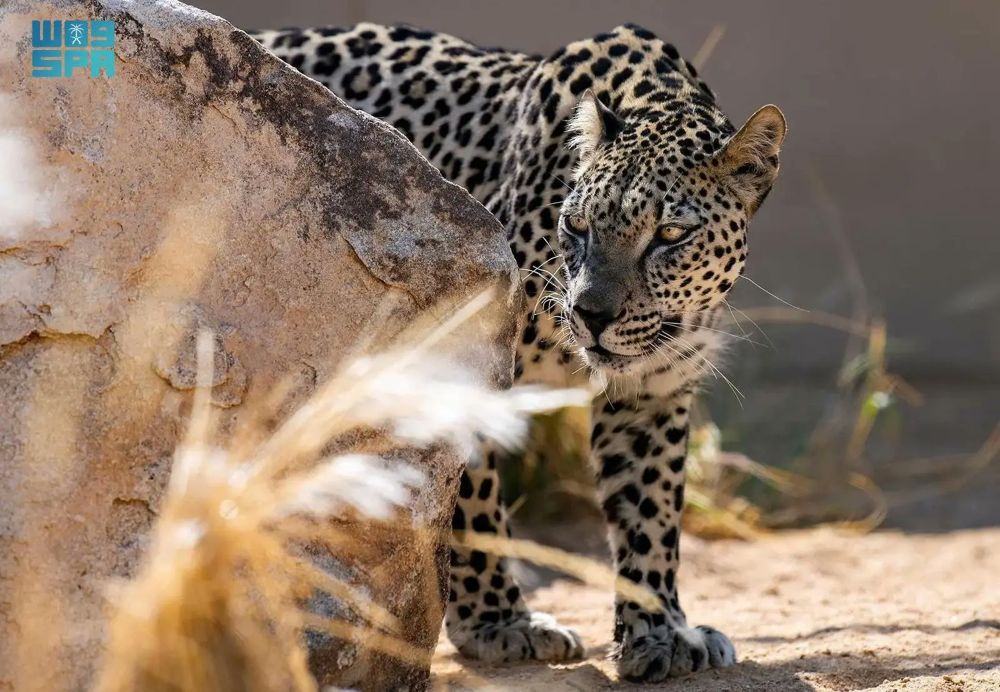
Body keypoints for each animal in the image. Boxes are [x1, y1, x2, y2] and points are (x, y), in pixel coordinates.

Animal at [250, 21, 786, 682]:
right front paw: (499, 624)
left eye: (670, 235)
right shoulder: (461, 364)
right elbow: (474, 505)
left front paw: (657, 631)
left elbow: (652, 512)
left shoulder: (653, 393)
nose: (593, 315)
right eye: (577, 227)